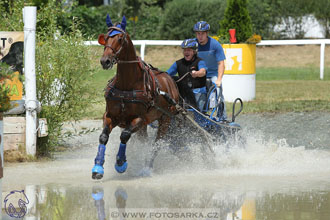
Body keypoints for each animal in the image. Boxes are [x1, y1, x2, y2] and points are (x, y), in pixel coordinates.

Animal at [91, 15, 180, 180]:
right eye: (105, 38)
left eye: (120, 39)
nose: (105, 61)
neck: (126, 85)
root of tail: (170, 80)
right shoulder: (111, 116)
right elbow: (103, 137)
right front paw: (98, 168)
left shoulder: (139, 119)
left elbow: (125, 136)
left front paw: (120, 163)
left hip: (165, 120)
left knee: (156, 144)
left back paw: (147, 167)